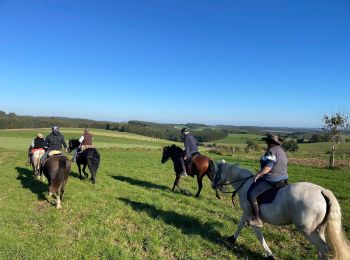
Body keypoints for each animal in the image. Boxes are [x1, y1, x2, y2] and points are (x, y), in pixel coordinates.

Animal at [211, 161, 350, 258]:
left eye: (216, 171)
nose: (213, 185)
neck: (245, 184)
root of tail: (322, 191)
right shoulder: (247, 213)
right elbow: (241, 226)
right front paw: (232, 238)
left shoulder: (249, 213)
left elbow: (257, 234)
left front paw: (269, 254)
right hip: (318, 230)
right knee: (321, 250)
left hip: (309, 231)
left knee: (324, 250)